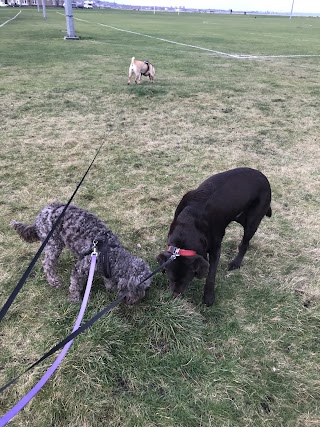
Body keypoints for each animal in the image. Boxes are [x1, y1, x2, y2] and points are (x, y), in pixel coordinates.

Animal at [11, 203, 152, 304]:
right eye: (140, 289)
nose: (133, 302)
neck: (111, 254)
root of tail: (40, 215)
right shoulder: (80, 268)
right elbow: (75, 284)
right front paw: (74, 299)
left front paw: (109, 286)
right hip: (54, 244)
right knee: (47, 263)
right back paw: (54, 281)